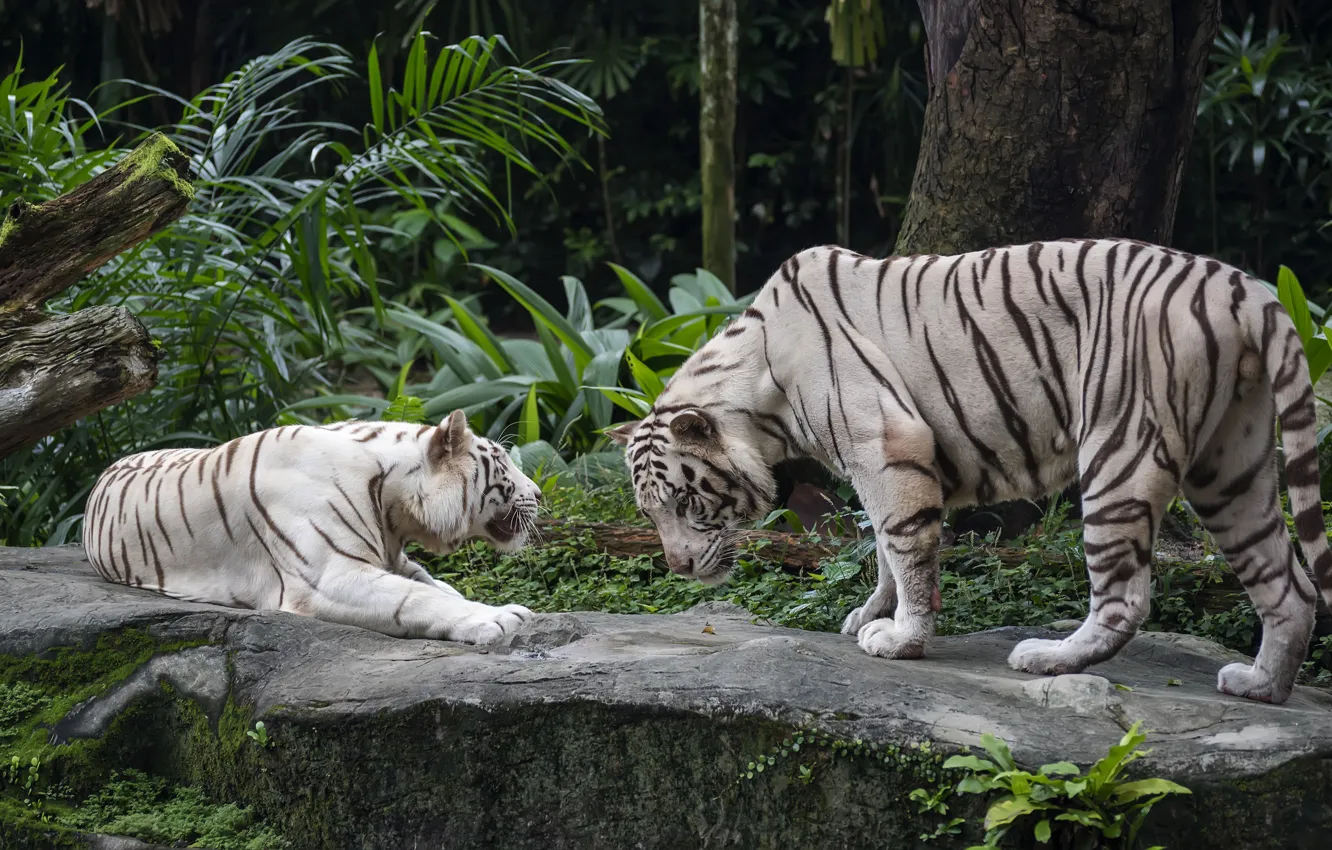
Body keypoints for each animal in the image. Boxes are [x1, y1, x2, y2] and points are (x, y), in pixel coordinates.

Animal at [83, 410, 538, 645]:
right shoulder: (329, 576)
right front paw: (500, 618)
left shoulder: (396, 560)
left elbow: (437, 587)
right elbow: (418, 599)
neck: (394, 508)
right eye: (503, 461)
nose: (538, 493)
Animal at [609, 238, 1332, 705]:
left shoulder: (887, 444)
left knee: (1127, 595)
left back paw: (1048, 657)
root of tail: (1247, 288)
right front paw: (869, 613)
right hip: (1230, 465)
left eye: (685, 503)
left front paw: (901, 639)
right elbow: (880, 548)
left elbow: (902, 546)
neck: (760, 394)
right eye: (649, 513)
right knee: (1289, 584)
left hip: (1121, 446)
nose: (676, 566)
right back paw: (1261, 686)